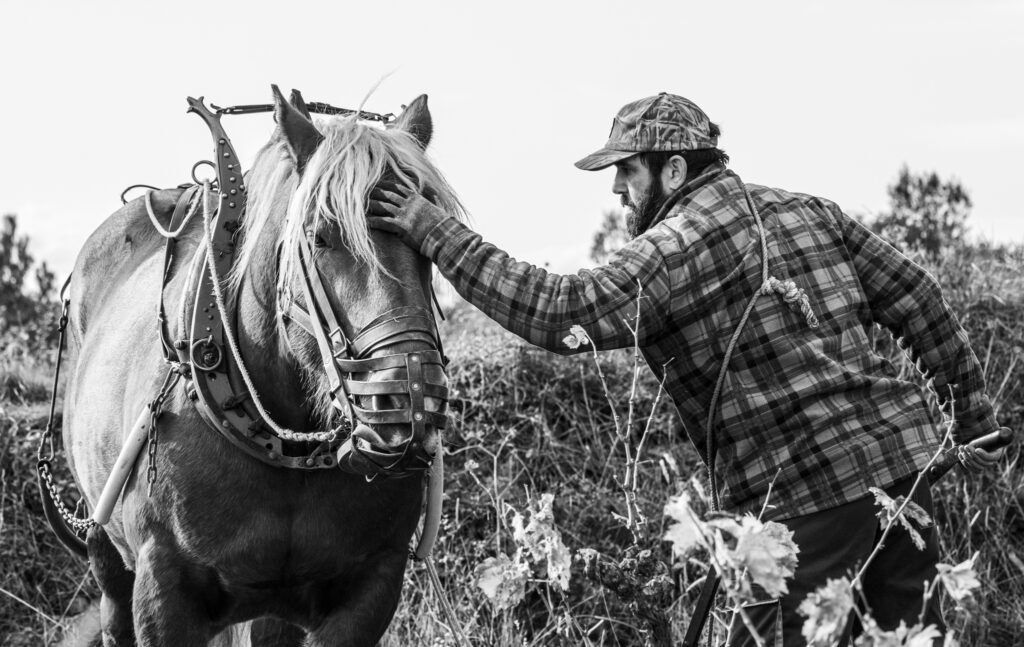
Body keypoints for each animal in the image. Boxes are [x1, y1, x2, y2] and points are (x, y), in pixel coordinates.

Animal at [60, 86, 461, 646]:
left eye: (429, 244)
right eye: (320, 235)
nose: (409, 407)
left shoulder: (370, 588)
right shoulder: (163, 591)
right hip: (109, 561)